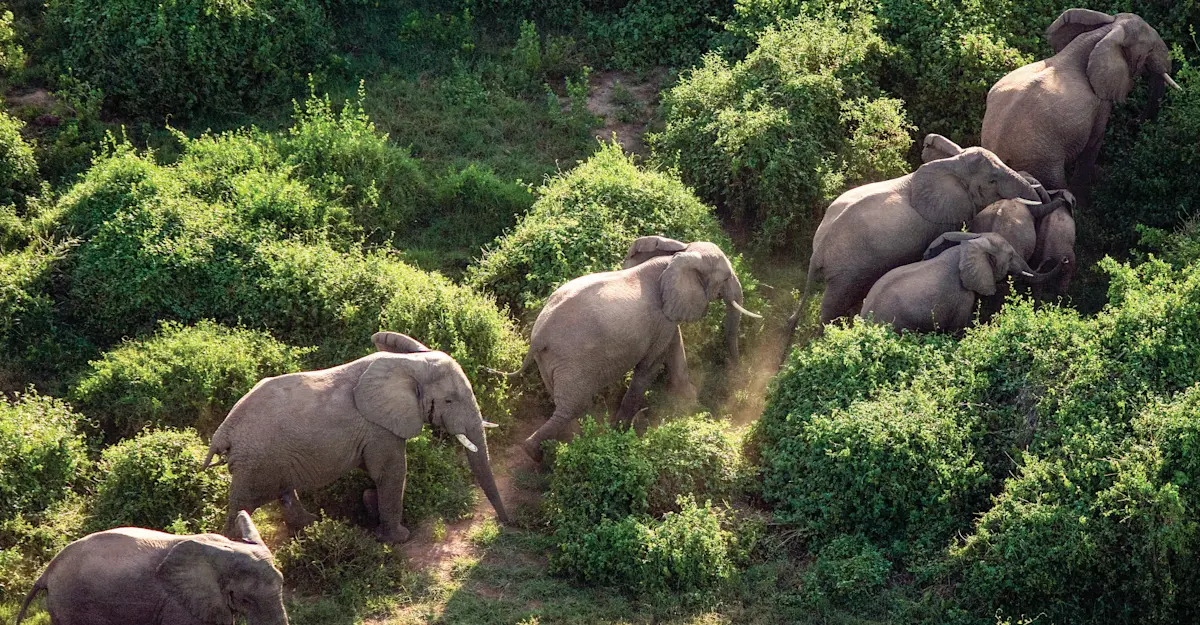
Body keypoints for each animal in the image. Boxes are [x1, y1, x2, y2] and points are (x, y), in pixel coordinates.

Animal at [202, 331, 508, 544]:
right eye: (449, 400)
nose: (506, 524)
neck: (409, 364)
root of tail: (223, 433)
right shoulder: (379, 428)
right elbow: (392, 472)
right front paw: (398, 538)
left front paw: (370, 504)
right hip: (256, 462)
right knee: (243, 505)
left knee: (284, 492)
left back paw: (311, 526)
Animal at [490, 237, 760, 462]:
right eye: (725, 278)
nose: (740, 377)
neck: (680, 255)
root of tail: (538, 336)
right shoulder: (661, 319)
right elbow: (650, 365)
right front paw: (621, 431)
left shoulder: (665, 317)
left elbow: (674, 347)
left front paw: (689, 404)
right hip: (571, 360)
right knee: (571, 406)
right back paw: (547, 450)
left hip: (548, 361)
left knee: (564, 402)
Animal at [783, 136, 1043, 345]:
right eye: (991, 181)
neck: (952, 163)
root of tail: (818, 250)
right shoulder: (942, 219)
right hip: (846, 271)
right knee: (833, 306)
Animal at [981, 9, 1181, 195]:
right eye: (1149, 50)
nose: (1132, 122)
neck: (1104, 32)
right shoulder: (1099, 102)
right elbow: (1094, 141)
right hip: (1040, 160)